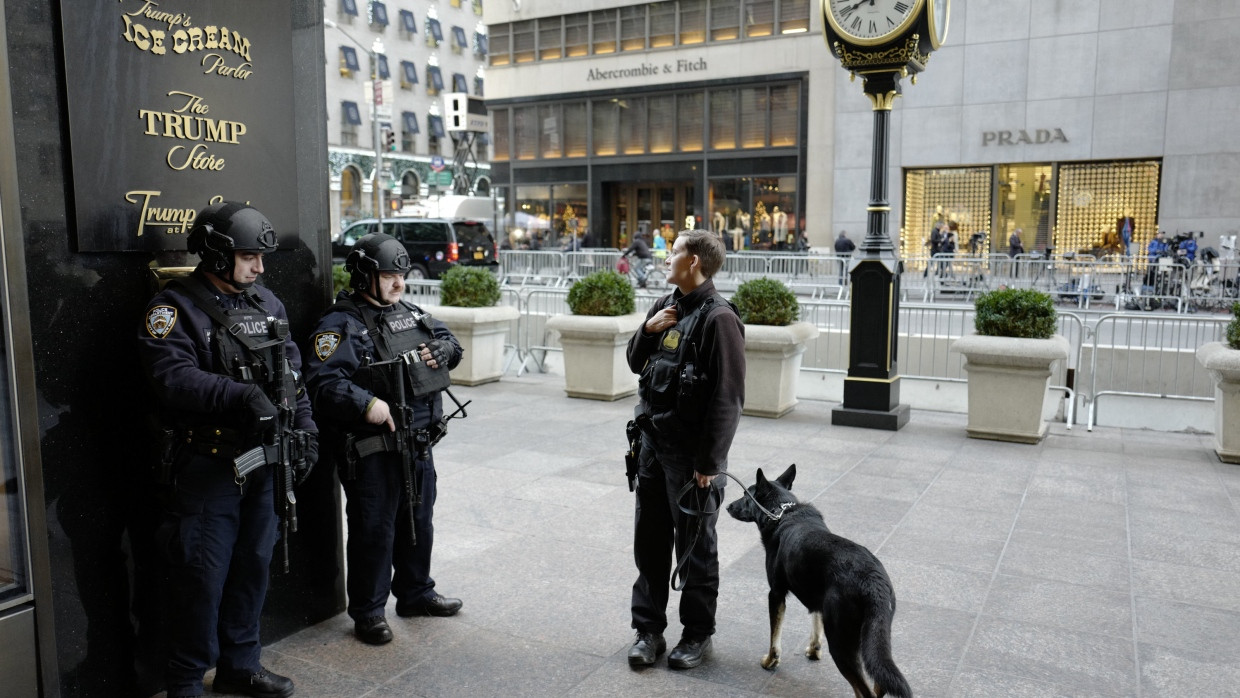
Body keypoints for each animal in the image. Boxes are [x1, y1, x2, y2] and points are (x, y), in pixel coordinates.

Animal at [724, 463, 912, 698]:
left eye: (745, 495)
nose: (727, 506)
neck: (783, 511)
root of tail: (874, 583)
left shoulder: (775, 593)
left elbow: (774, 638)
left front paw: (770, 661)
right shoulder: (816, 596)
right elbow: (815, 620)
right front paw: (813, 649)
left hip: (842, 643)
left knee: (864, 689)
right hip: (876, 636)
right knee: (880, 678)